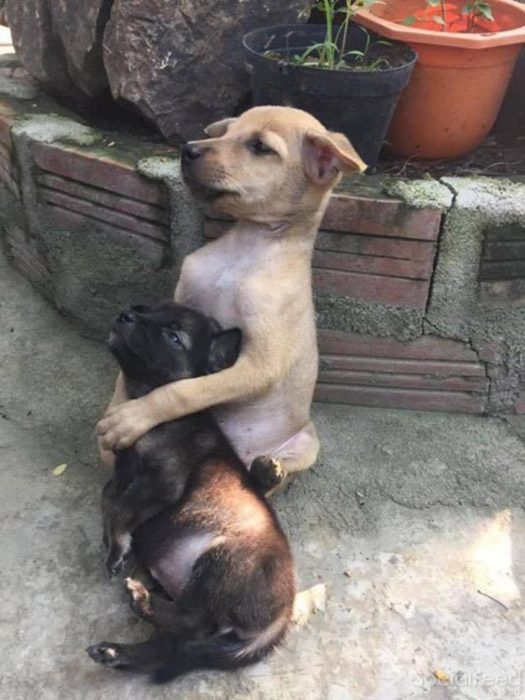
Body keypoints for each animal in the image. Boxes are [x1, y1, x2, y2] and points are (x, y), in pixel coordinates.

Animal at [86, 302, 294, 684]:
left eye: (173, 337)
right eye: (143, 308)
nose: (125, 315)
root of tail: (282, 617)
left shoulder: (163, 480)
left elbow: (121, 507)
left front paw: (117, 546)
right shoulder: (124, 476)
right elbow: (109, 497)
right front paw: (112, 543)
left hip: (224, 562)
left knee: (192, 622)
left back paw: (140, 601)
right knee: (169, 644)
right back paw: (116, 653)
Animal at [97, 106, 364, 482]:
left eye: (260, 147)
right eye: (226, 133)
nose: (188, 149)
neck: (243, 250)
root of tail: (238, 454)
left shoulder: (260, 365)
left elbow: (187, 390)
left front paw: (132, 417)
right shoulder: (183, 303)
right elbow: (129, 371)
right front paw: (122, 403)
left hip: (307, 443)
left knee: (270, 477)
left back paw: (269, 472)